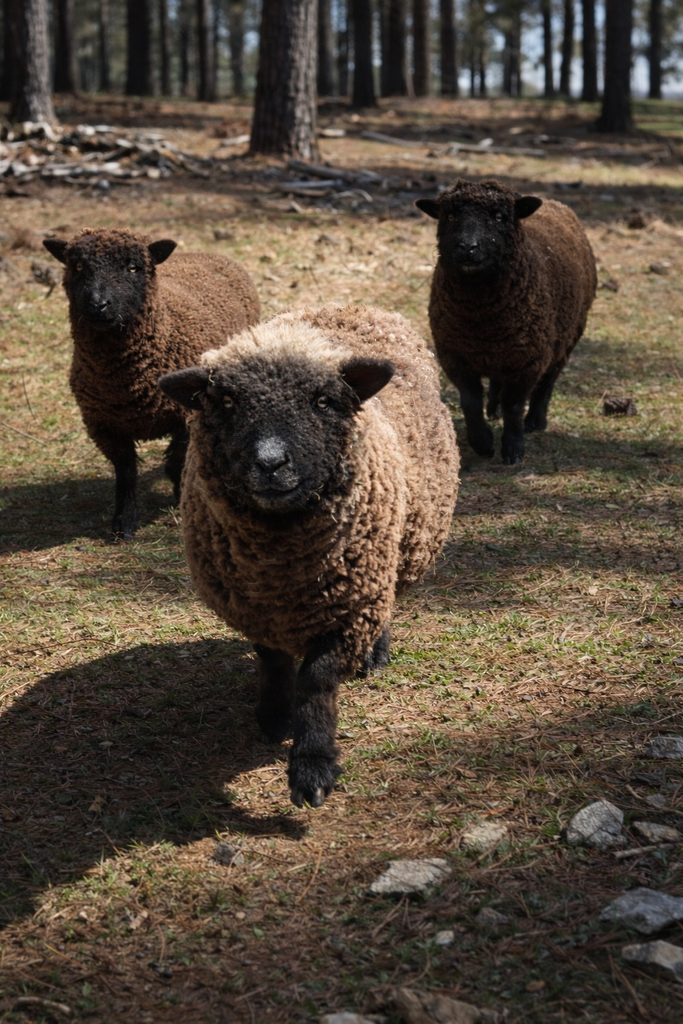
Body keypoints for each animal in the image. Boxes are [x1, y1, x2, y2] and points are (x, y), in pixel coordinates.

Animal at [43, 228, 260, 538]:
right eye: (78, 266)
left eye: (134, 267)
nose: (98, 305)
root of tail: (208, 253)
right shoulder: (104, 425)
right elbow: (126, 473)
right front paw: (123, 524)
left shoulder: (186, 415)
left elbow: (176, 464)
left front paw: (182, 503)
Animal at [158, 304, 460, 808]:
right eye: (225, 402)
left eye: (323, 401)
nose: (270, 463)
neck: (282, 566)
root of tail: (353, 306)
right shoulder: (256, 609)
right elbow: (274, 662)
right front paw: (274, 715)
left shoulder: (351, 607)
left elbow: (317, 680)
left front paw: (312, 764)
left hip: (390, 556)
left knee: (387, 601)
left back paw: (375, 654)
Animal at [416, 178, 597, 464]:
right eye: (450, 215)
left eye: (499, 216)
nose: (468, 247)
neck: (481, 315)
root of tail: (554, 203)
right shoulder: (454, 355)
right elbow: (470, 401)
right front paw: (482, 443)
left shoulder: (527, 359)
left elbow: (514, 405)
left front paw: (513, 449)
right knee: (497, 380)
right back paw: (493, 409)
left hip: (567, 337)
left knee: (548, 380)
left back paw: (535, 420)